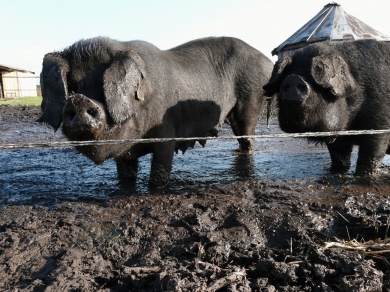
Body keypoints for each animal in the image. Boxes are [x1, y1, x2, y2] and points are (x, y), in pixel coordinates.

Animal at [38, 36, 272, 186]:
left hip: (251, 101)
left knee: (247, 134)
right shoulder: (124, 152)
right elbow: (125, 173)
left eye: (103, 85)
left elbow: (160, 168)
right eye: (73, 85)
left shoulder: (166, 134)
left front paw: (155, 188)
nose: (79, 100)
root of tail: (267, 61)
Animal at [264, 39, 390, 175]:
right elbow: (339, 157)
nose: (293, 78)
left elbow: (370, 156)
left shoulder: (380, 126)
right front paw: (336, 171)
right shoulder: (338, 139)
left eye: (315, 77)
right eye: (288, 74)